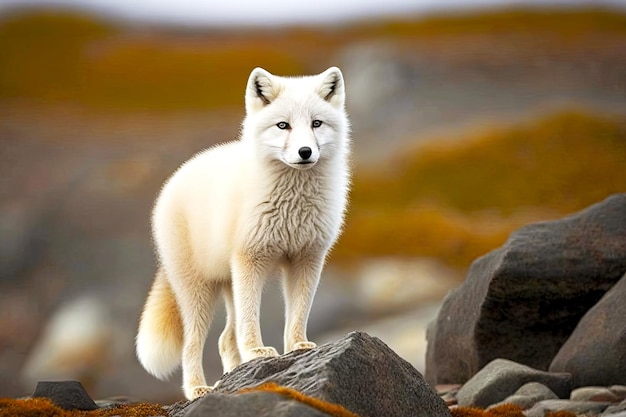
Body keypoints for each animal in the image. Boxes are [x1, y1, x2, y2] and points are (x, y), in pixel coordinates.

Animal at [136, 66, 348, 398]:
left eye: (316, 123)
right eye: (283, 125)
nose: (305, 152)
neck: (293, 204)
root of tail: (177, 175)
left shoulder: (307, 258)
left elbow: (298, 312)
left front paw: (297, 346)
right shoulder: (251, 258)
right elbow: (251, 320)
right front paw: (257, 353)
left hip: (228, 283)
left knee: (225, 339)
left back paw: (233, 373)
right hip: (199, 291)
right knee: (192, 345)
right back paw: (198, 389)